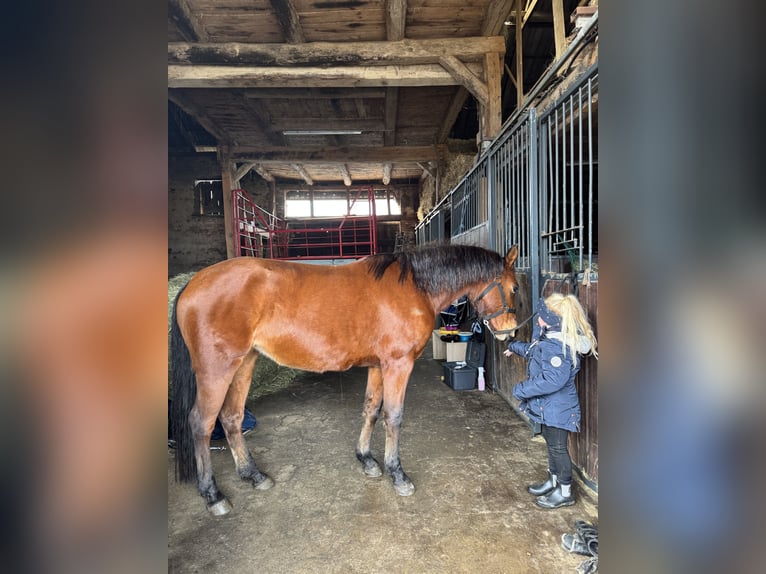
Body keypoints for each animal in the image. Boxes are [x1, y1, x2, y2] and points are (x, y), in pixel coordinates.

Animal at [170, 243, 520, 516]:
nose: (510, 332)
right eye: (515, 287)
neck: (414, 286)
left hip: (244, 364)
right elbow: (393, 417)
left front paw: (367, 460)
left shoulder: (378, 366)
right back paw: (213, 495)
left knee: (231, 418)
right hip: (217, 370)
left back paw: (253, 475)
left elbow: (371, 410)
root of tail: (193, 284)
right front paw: (398, 474)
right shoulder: (398, 364)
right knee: (202, 423)